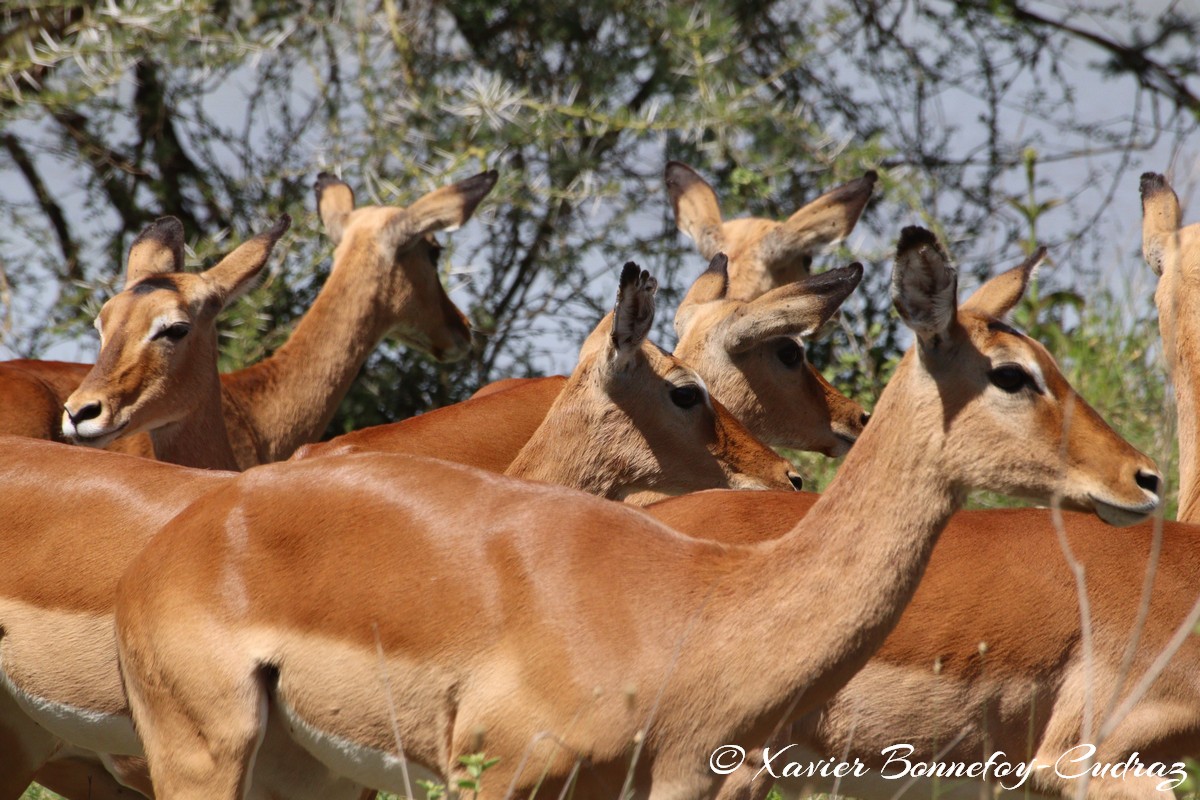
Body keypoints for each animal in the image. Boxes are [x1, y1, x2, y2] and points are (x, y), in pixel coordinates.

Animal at [111, 226, 1159, 800]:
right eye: (1013, 373)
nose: (1143, 476)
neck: (698, 609)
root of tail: (178, 538)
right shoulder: (500, 779)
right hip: (203, 755)